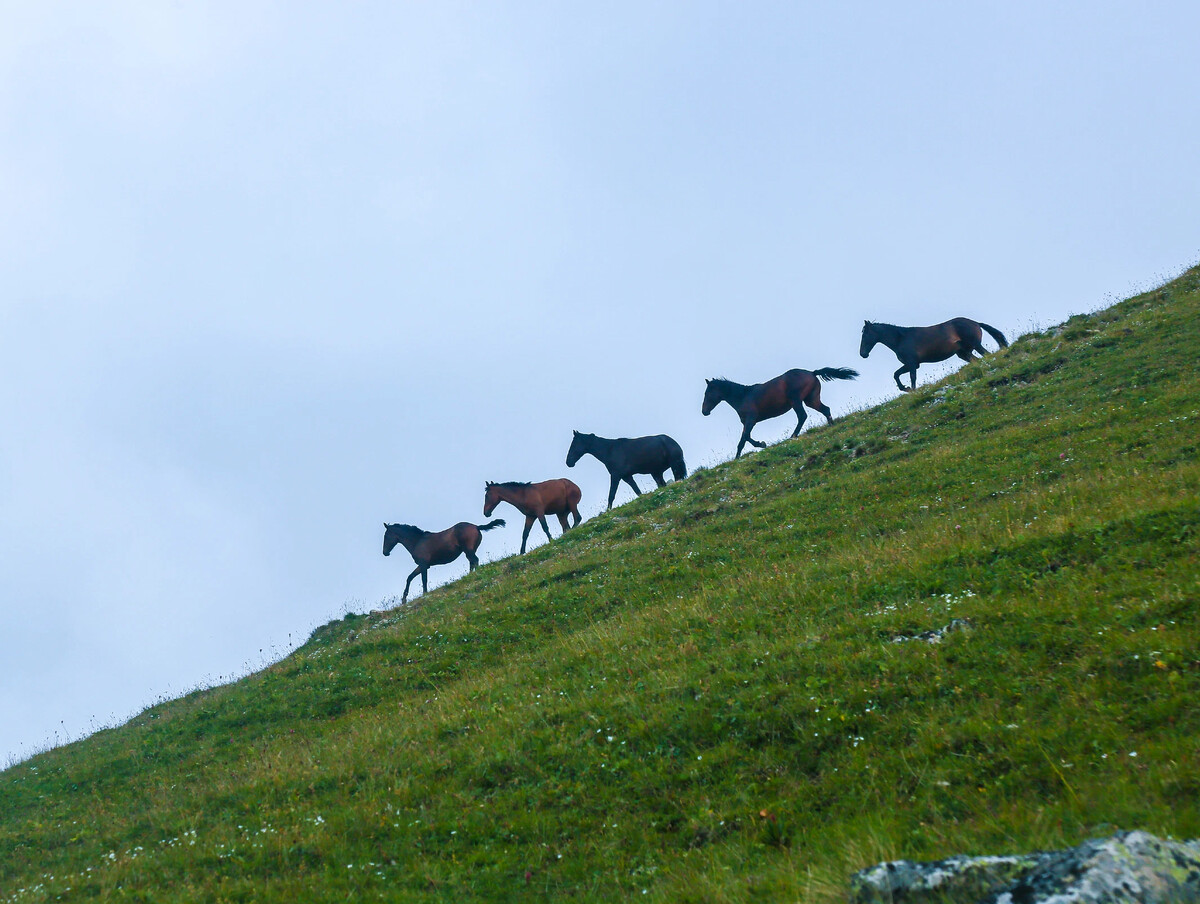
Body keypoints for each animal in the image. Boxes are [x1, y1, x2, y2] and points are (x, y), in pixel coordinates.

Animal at [700, 362, 859, 453]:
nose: (704, 411)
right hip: (811, 400)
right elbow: (741, 442)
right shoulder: (746, 423)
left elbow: (746, 437)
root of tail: (812, 372)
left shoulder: (751, 420)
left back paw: (793, 435)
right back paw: (831, 425)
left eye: (707, 393)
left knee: (802, 416)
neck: (743, 396)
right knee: (826, 409)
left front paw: (762, 444)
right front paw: (737, 458)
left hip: (796, 401)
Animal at [859, 314, 1008, 388]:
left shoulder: (912, 364)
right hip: (964, 353)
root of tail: (976, 323)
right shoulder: (912, 364)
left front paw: (910, 390)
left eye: (864, 335)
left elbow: (911, 378)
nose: (863, 354)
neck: (900, 339)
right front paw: (905, 388)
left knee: (987, 355)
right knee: (978, 360)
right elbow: (896, 374)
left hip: (975, 346)